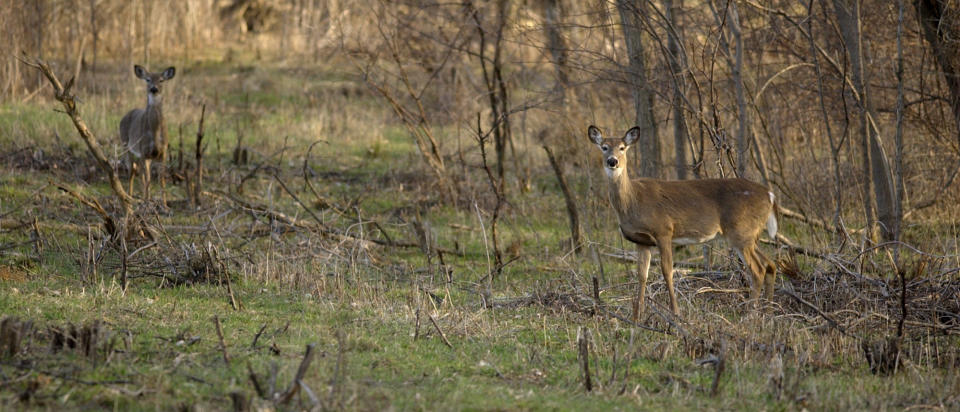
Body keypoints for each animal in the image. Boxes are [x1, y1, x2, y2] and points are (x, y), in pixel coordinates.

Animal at [119, 64, 175, 204]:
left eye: (161, 80)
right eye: (147, 79)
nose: (154, 89)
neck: (154, 133)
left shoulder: (162, 151)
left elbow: (161, 179)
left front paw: (165, 205)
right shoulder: (143, 150)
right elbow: (148, 178)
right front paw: (146, 201)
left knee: (139, 171)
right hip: (126, 144)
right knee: (132, 171)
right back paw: (130, 196)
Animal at [584, 125, 780, 322]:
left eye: (622, 147)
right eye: (604, 147)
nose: (612, 161)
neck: (633, 201)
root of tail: (770, 195)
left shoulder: (664, 230)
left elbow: (667, 271)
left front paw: (675, 313)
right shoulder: (642, 241)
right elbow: (642, 275)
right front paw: (636, 317)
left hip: (740, 231)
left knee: (757, 270)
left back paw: (749, 314)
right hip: (750, 234)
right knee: (770, 264)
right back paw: (769, 312)